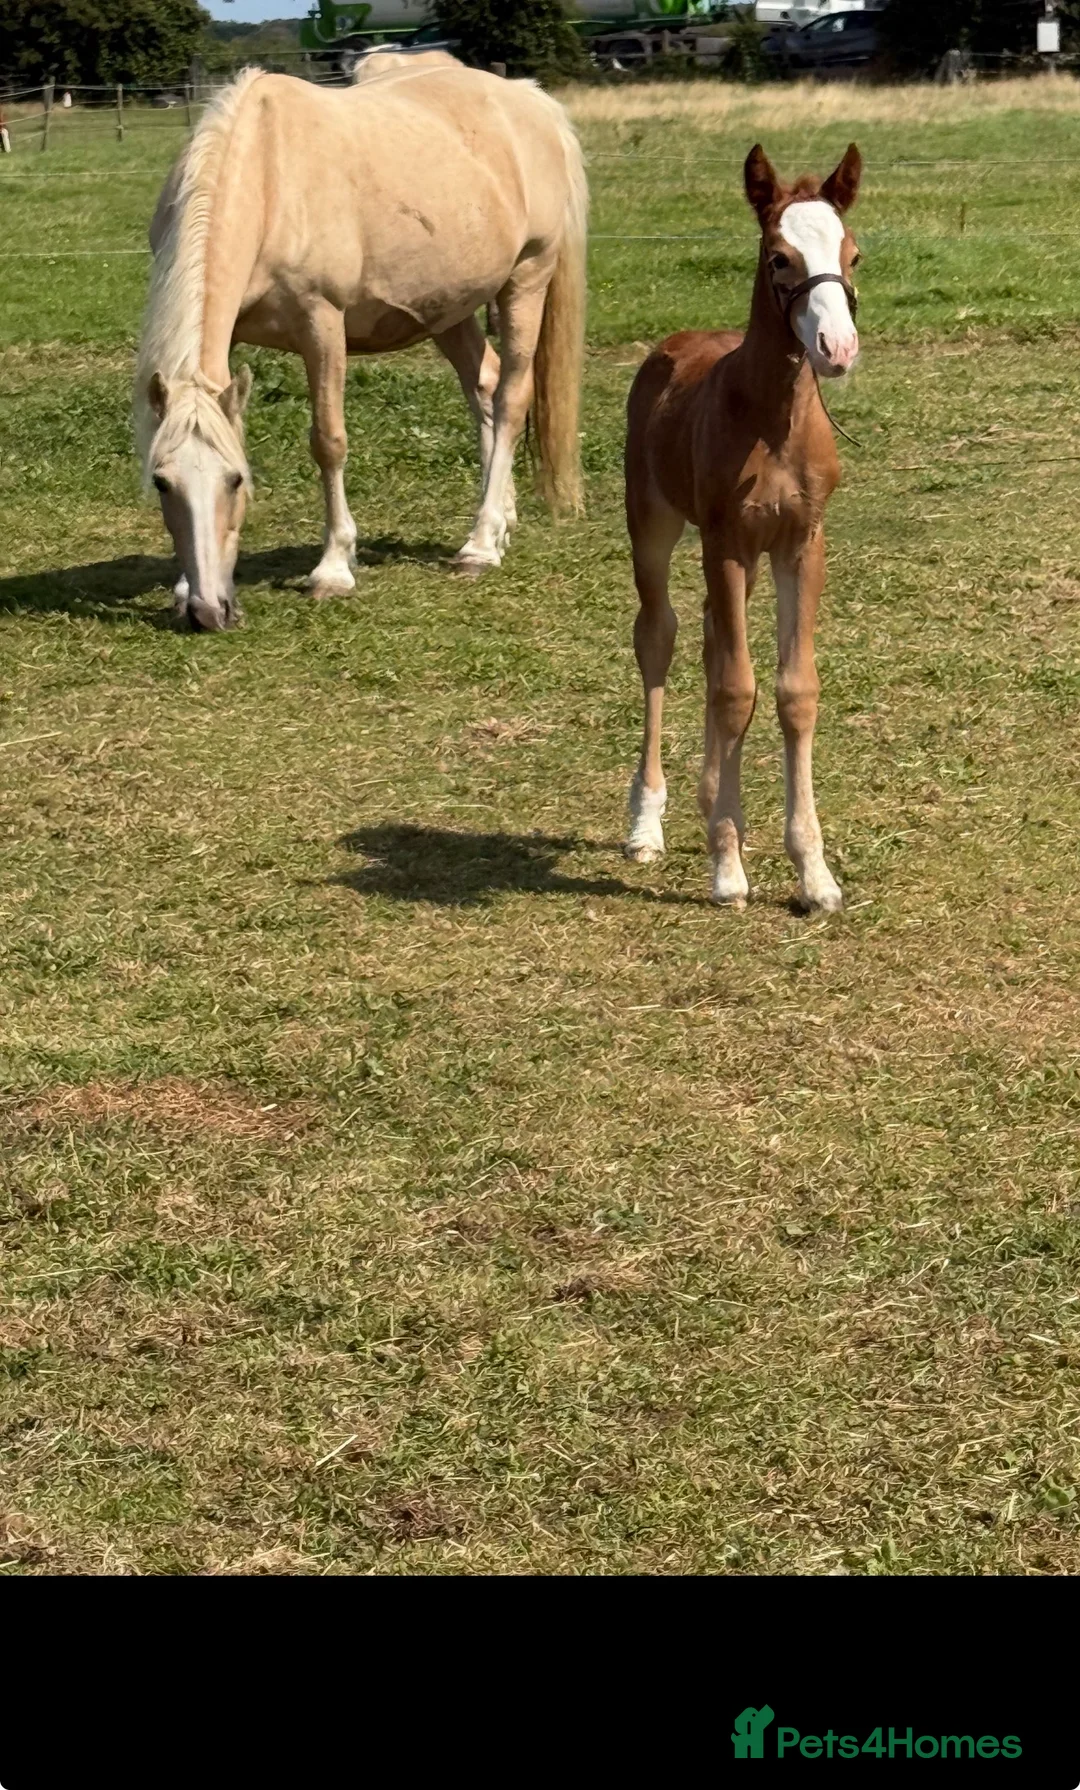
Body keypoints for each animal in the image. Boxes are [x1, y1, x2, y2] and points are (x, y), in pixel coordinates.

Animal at [135, 59, 587, 631]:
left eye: (236, 481)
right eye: (162, 483)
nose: (208, 612)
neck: (269, 178)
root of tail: (532, 101)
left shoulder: (322, 324)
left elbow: (328, 441)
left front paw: (333, 568)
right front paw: (180, 587)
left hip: (526, 279)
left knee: (509, 398)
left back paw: (481, 544)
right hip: (450, 308)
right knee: (483, 387)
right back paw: (501, 518)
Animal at [623, 142, 862, 914]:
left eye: (853, 253)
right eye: (779, 257)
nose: (836, 348)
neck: (773, 421)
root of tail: (677, 340)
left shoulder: (800, 543)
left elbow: (792, 691)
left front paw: (814, 872)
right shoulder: (725, 542)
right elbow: (735, 690)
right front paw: (727, 868)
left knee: (706, 639)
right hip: (654, 523)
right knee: (661, 637)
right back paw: (647, 822)